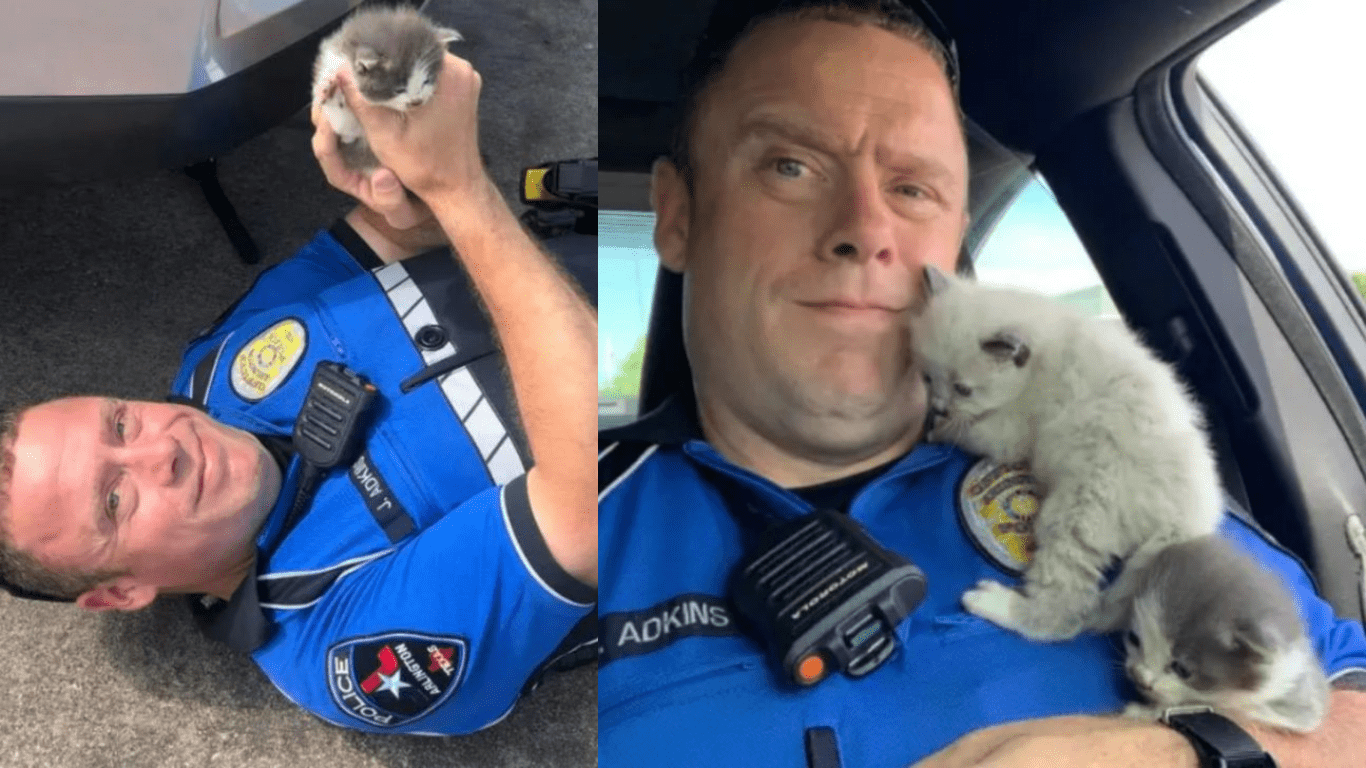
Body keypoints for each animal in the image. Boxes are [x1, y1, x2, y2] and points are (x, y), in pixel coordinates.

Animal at [912, 266, 1223, 636]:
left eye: (963, 389)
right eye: (928, 378)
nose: (938, 407)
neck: (1040, 359)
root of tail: (1191, 518)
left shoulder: (1011, 433)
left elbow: (972, 430)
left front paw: (937, 431)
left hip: (1078, 511)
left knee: (1064, 612)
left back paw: (994, 602)